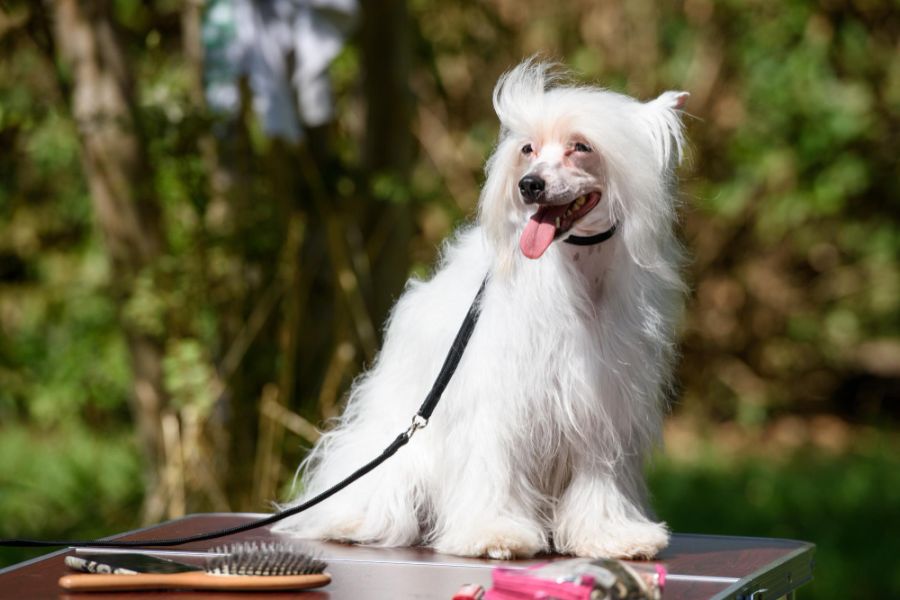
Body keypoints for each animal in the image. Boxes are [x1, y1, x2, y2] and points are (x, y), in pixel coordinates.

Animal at [276, 58, 688, 560]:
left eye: (581, 147)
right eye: (528, 149)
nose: (529, 185)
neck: (576, 273)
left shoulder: (600, 409)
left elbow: (598, 480)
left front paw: (612, 536)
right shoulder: (498, 405)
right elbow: (494, 468)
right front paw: (495, 534)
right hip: (397, 465)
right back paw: (352, 521)